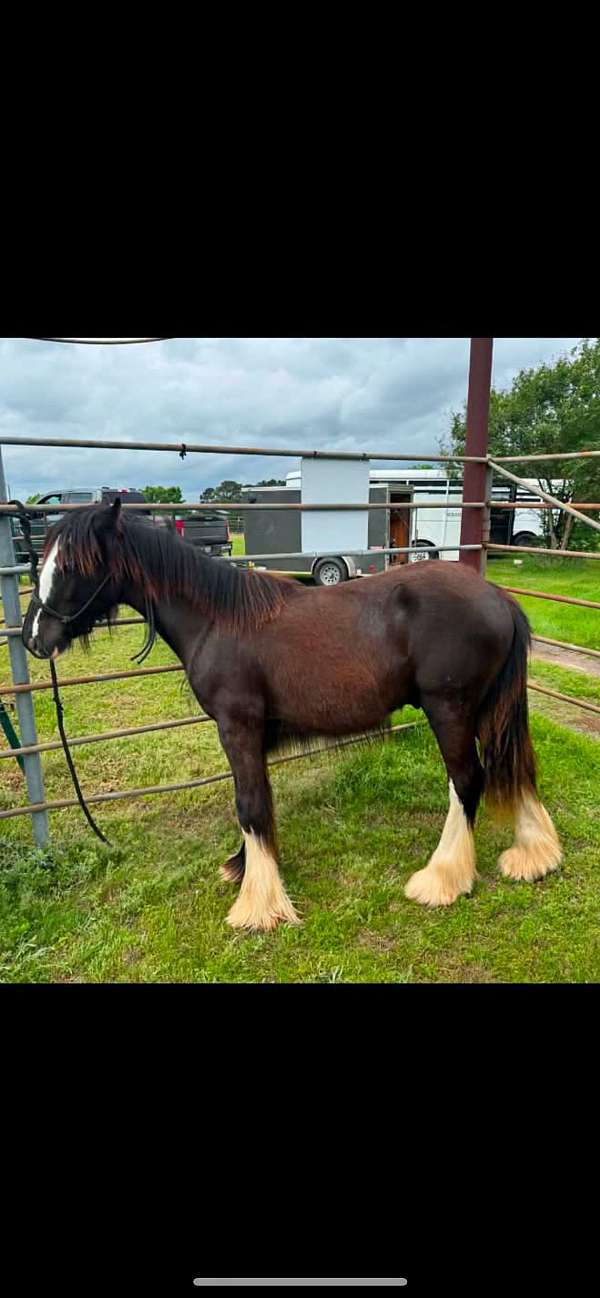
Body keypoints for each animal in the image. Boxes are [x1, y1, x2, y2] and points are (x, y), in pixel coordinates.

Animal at [22, 498, 561, 931]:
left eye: (71, 564)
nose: (34, 637)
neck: (217, 619)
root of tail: (499, 599)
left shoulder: (237, 729)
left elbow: (249, 806)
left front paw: (258, 906)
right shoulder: (251, 737)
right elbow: (255, 802)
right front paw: (245, 868)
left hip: (450, 709)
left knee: (467, 780)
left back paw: (442, 879)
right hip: (488, 710)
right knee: (515, 767)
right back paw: (534, 855)